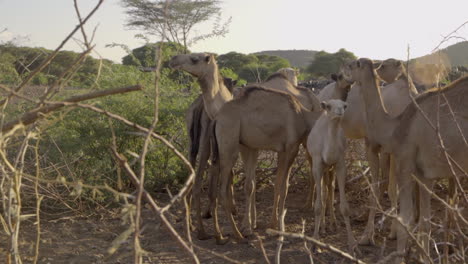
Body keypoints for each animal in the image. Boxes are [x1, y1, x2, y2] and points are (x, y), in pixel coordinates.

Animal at [212, 86, 322, 243]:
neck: (304, 117)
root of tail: (216, 119)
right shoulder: (290, 148)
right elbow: (283, 187)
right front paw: (278, 225)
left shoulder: (276, 149)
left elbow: (275, 185)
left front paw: (269, 223)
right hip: (229, 148)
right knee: (222, 191)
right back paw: (238, 234)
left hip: (221, 150)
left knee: (214, 187)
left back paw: (220, 235)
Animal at [306, 99, 356, 252]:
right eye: (328, 106)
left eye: (344, 105)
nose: (340, 111)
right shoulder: (317, 163)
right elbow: (317, 206)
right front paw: (315, 243)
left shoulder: (339, 164)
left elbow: (345, 208)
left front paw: (352, 244)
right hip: (320, 166)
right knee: (323, 190)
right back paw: (322, 228)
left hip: (330, 168)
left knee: (330, 187)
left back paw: (332, 224)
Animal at [344, 58, 468, 264]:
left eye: (354, 64)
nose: (338, 73)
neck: (395, 127)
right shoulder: (425, 175)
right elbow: (425, 222)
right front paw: (424, 258)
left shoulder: (405, 164)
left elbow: (405, 221)